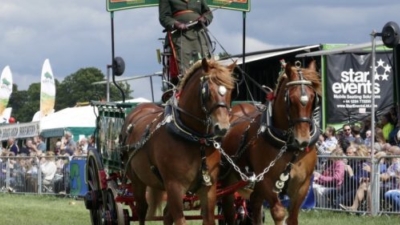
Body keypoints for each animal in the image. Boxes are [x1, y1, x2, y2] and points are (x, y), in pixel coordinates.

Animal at [120, 58, 236, 225]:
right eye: (207, 90)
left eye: (231, 91)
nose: (222, 127)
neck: (195, 139)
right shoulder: (174, 186)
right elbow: (179, 218)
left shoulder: (209, 188)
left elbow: (208, 218)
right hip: (137, 181)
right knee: (142, 209)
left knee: (166, 214)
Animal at [219, 60, 322, 225]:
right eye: (290, 99)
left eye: (313, 97)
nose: (302, 140)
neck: (288, 146)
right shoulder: (265, 180)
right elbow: (279, 213)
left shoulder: (302, 184)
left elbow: (292, 217)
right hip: (227, 179)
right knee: (228, 208)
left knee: (254, 201)